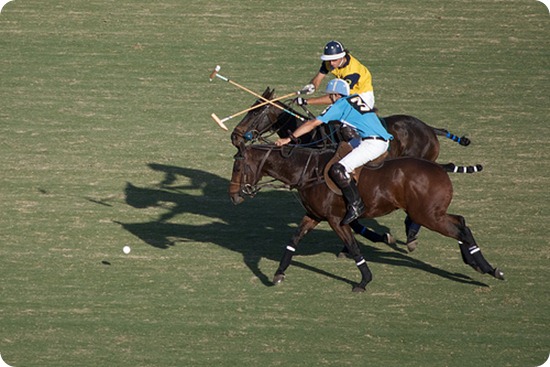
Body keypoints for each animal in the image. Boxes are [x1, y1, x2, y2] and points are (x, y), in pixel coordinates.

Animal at [231, 144, 506, 294]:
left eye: (238, 166)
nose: (233, 196)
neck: (308, 171)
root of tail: (440, 167)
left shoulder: (335, 219)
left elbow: (353, 247)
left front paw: (364, 281)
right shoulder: (313, 215)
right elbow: (293, 240)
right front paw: (278, 273)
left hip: (426, 215)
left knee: (460, 229)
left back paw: (489, 269)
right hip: (433, 213)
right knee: (461, 223)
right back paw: (478, 265)